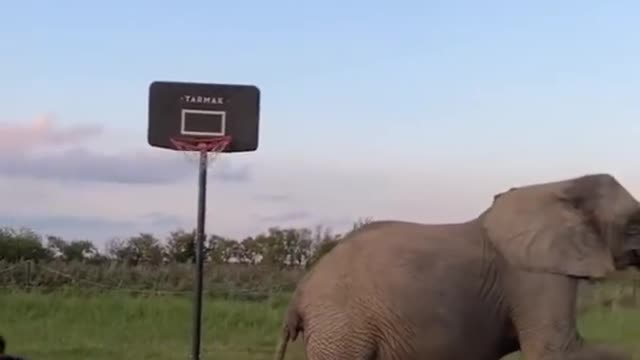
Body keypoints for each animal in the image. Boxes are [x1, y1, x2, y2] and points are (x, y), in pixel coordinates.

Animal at [272, 173, 640, 358]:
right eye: (634, 226)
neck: (561, 184)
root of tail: (300, 292)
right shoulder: (531, 275)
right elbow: (556, 351)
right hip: (343, 327)